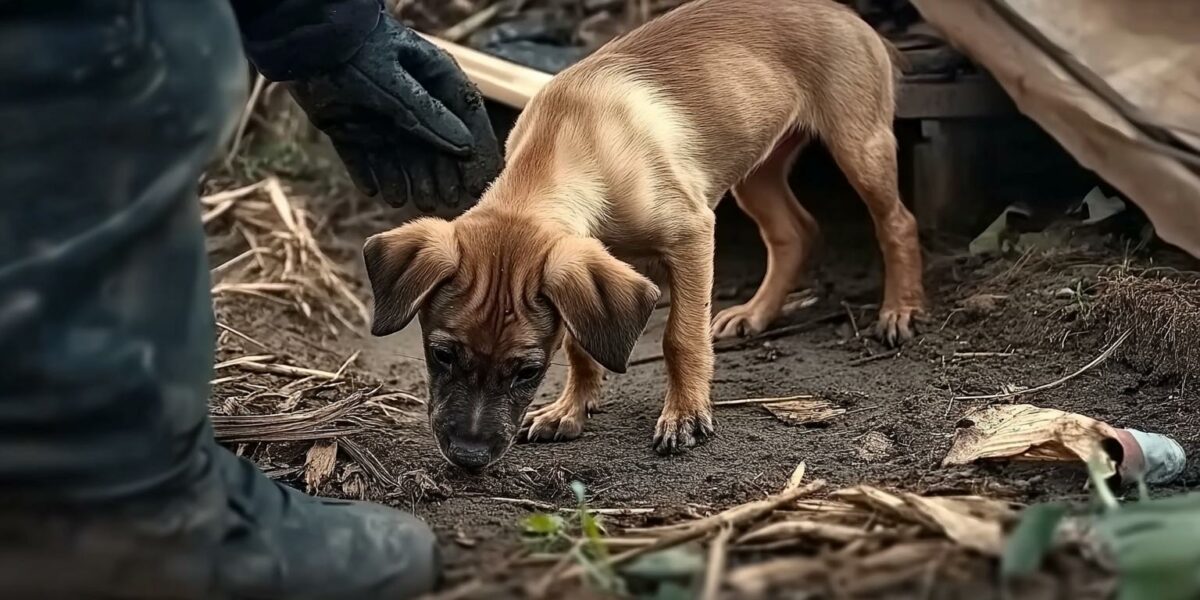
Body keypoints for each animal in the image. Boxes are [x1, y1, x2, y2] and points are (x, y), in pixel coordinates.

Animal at [360, 0, 921, 468]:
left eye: (526, 371)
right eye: (442, 354)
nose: (469, 457)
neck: (570, 142)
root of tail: (846, 12)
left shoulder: (692, 234)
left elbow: (681, 336)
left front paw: (686, 415)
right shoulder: (590, 271)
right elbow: (581, 343)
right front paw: (570, 409)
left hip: (859, 143)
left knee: (897, 222)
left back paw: (898, 311)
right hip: (757, 168)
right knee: (794, 233)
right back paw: (755, 314)